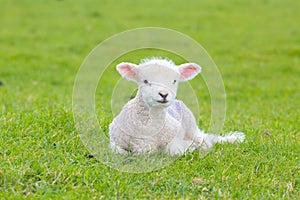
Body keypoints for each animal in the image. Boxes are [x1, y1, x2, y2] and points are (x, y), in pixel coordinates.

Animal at [109, 57, 245, 155]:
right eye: (145, 81)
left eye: (174, 81)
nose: (164, 94)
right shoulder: (115, 142)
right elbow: (119, 152)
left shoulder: (174, 138)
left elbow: (173, 150)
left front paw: (189, 148)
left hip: (191, 127)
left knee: (204, 140)